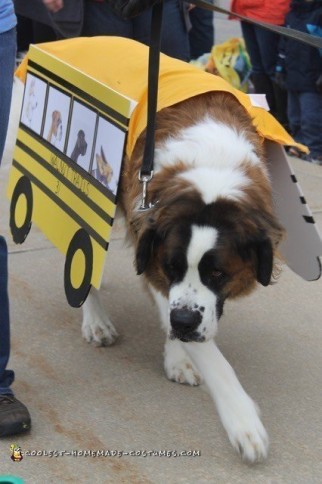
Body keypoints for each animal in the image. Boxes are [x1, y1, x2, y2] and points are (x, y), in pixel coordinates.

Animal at [81, 89, 284, 464]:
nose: (184, 323)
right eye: (172, 266)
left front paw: (178, 356)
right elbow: (215, 361)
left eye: (217, 272)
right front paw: (243, 421)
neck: (212, 176)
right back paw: (96, 320)